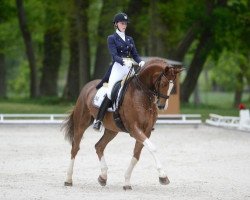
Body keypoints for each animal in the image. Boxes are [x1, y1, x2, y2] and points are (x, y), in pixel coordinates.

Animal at [63, 57, 183, 189]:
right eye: (163, 84)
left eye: (173, 86)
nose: (162, 106)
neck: (142, 93)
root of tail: (87, 86)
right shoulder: (134, 128)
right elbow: (152, 148)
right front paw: (163, 176)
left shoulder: (146, 131)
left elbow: (136, 154)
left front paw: (126, 182)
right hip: (81, 123)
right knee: (75, 147)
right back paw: (68, 179)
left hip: (111, 130)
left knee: (99, 146)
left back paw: (103, 177)